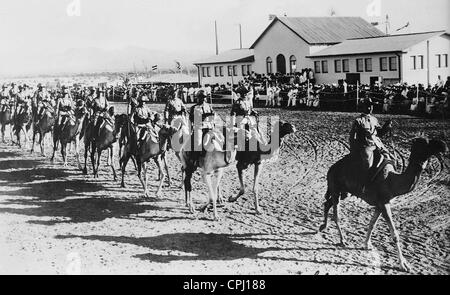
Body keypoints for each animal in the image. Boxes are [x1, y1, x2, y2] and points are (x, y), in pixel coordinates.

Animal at [318, 138, 448, 274]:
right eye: (426, 144)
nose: (443, 146)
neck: (391, 181)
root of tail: (331, 168)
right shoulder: (384, 204)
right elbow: (394, 234)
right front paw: (404, 265)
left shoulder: (380, 204)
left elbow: (372, 224)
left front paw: (367, 245)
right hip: (335, 187)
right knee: (336, 214)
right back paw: (342, 240)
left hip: (345, 192)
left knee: (327, 203)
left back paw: (323, 227)